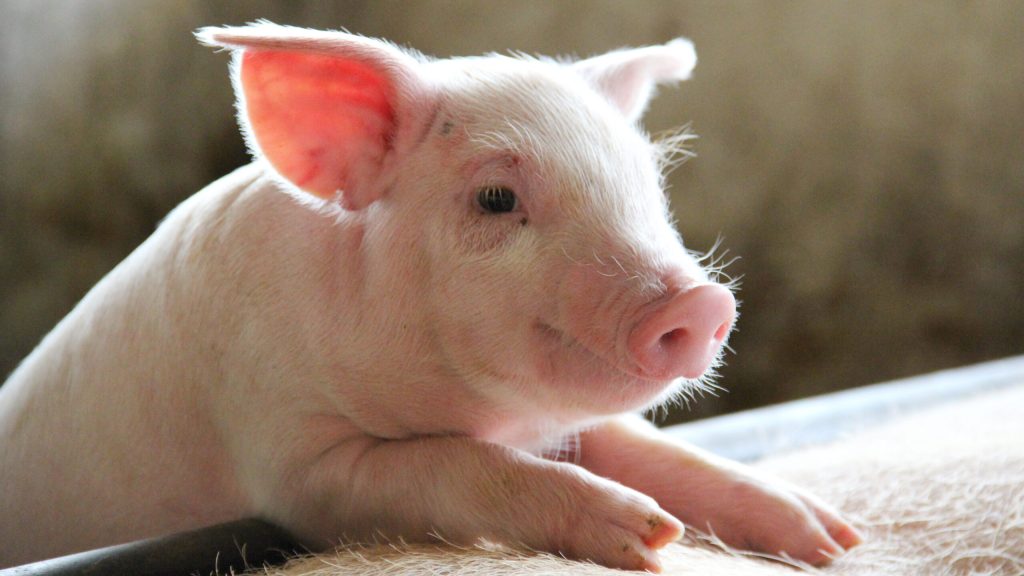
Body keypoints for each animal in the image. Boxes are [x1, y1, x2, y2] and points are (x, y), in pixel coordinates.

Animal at [0, 22, 861, 571]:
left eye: (650, 184)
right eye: (495, 199)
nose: (703, 304)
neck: (481, 408)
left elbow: (657, 448)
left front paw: (832, 540)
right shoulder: (294, 459)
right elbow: (457, 468)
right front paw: (649, 538)